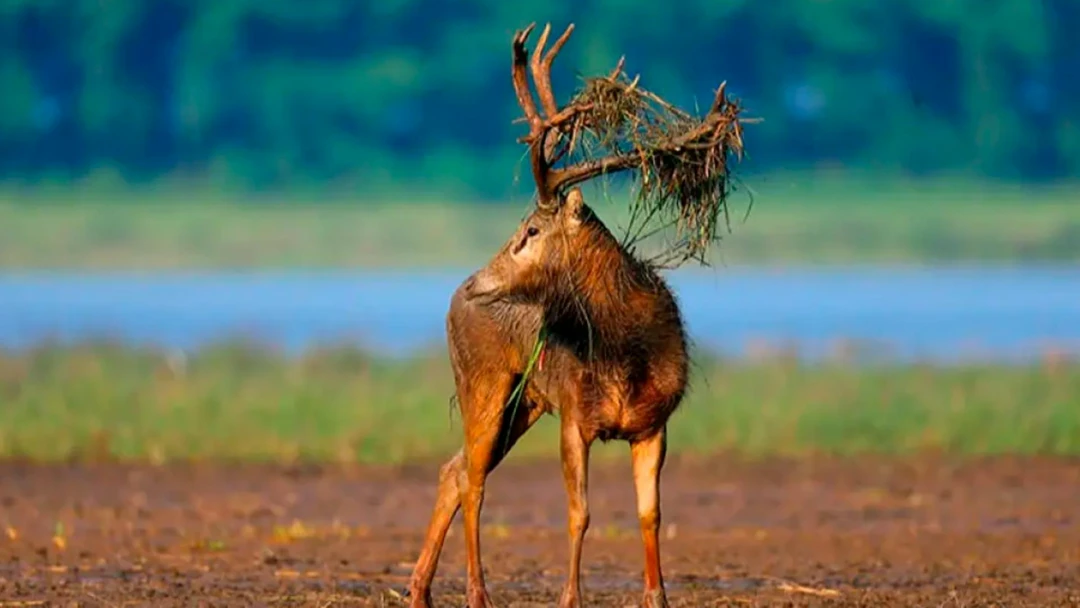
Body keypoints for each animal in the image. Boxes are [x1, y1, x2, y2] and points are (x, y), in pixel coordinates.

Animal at [405, 21, 742, 608]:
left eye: (531, 230)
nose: (474, 284)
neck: (628, 352)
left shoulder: (655, 423)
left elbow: (650, 514)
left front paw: (658, 596)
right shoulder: (575, 417)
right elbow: (579, 513)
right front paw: (570, 597)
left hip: (524, 402)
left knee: (454, 469)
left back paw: (419, 589)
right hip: (483, 382)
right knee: (473, 477)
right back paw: (476, 592)